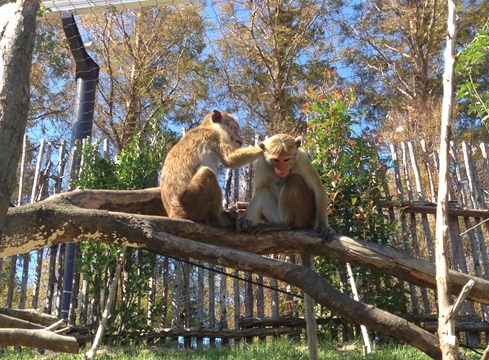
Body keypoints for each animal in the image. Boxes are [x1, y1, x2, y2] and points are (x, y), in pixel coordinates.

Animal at [240, 134, 336, 360]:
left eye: (286, 160)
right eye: (276, 160)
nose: (281, 170)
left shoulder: (302, 159)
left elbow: (318, 189)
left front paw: (325, 227)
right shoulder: (261, 164)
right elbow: (259, 189)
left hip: (305, 216)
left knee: (295, 181)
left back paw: (286, 225)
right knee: (263, 192)